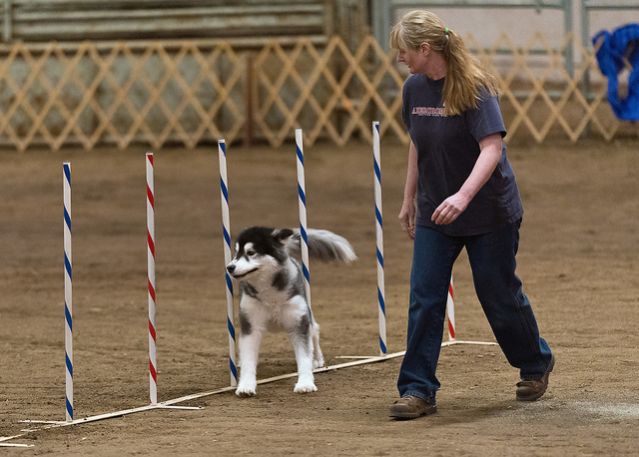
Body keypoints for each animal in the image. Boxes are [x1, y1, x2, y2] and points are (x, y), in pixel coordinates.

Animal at [226, 226, 358, 394]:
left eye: (250, 252)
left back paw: (317, 359)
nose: (230, 267)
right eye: (236, 253)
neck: (269, 294)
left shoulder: (299, 323)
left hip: (308, 317)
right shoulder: (251, 325)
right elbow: (249, 360)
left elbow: (304, 357)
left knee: (315, 332)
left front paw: (305, 383)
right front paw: (246, 386)